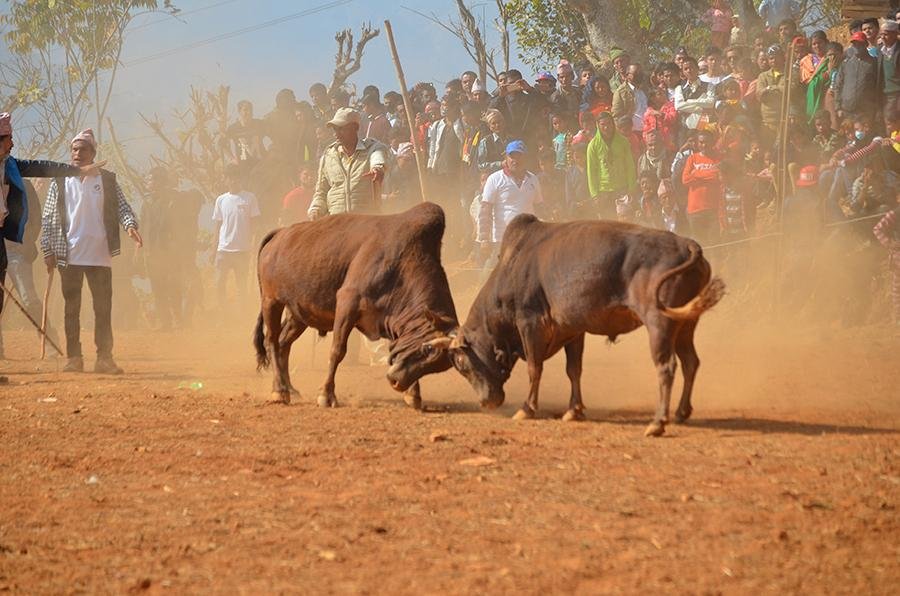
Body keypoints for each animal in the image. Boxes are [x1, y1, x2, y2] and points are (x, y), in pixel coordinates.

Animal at [253, 203, 458, 409]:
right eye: (428, 349)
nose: (397, 381)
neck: (402, 263)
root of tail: (280, 234)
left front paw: (413, 394)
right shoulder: (347, 303)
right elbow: (337, 350)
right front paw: (326, 394)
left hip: (298, 314)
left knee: (284, 343)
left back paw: (290, 389)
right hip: (271, 302)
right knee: (271, 341)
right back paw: (279, 391)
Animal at [446, 215, 725, 437]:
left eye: (462, 364)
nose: (486, 402)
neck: (512, 268)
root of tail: (687, 244)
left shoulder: (530, 324)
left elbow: (535, 369)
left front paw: (527, 409)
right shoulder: (573, 331)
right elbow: (574, 370)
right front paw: (574, 410)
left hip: (660, 324)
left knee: (667, 367)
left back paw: (658, 422)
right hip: (686, 325)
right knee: (690, 362)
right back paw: (681, 412)